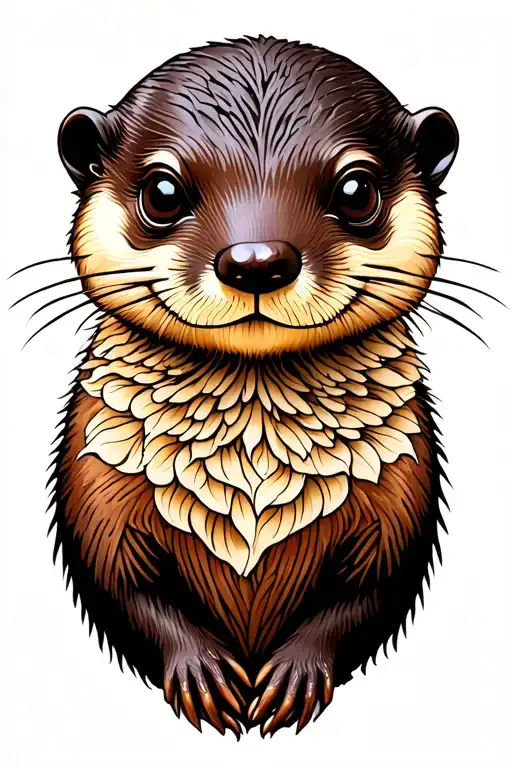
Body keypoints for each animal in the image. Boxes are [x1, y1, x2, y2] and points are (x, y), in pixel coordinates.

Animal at [52, 35, 458, 737]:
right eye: (162, 191)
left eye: (357, 189)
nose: (257, 260)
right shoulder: (93, 483)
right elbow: (117, 584)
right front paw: (201, 672)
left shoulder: (404, 488)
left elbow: (373, 589)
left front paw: (295, 674)